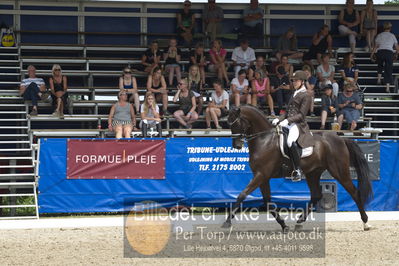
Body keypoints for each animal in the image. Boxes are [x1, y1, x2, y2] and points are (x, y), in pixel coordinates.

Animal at [225, 105, 376, 232]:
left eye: (236, 123)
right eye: (228, 123)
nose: (236, 146)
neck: (264, 140)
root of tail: (341, 139)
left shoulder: (261, 174)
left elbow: (242, 194)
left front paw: (227, 222)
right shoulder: (262, 176)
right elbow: (268, 202)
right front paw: (284, 225)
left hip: (339, 172)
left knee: (354, 193)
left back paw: (366, 223)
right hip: (312, 173)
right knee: (316, 195)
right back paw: (299, 222)